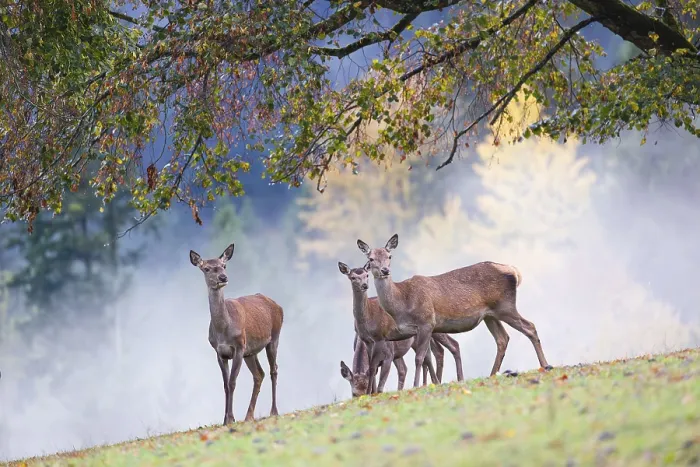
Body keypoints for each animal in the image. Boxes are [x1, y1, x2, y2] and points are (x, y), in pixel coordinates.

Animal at [189, 243, 283, 425]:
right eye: (206, 268)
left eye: (224, 265)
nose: (223, 277)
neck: (223, 330)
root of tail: (277, 305)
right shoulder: (220, 352)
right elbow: (225, 385)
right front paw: (225, 419)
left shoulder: (239, 347)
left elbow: (232, 382)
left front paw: (231, 418)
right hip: (251, 351)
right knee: (259, 374)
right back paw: (249, 416)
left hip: (274, 337)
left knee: (273, 370)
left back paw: (274, 411)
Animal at [338, 261, 464, 395]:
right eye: (353, 394)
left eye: (367, 275)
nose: (364, 285)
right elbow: (378, 371)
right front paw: (372, 393)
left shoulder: (389, 353)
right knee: (428, 356)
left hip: (433, 327)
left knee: (443, 349)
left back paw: (437, 381)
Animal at [357, 234, 552, 388]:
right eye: (371, 259)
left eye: (390, 256)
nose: (385, 270)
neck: (401, 304)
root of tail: (514, 271)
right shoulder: (413, 330)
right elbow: (425, 358)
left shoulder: (426, 321)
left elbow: (419, 358)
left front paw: (416, 385)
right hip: (490, 315)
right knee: (502, 338)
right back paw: (492, 374)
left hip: (505, 306)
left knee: (529, 326)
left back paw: (545, 365)